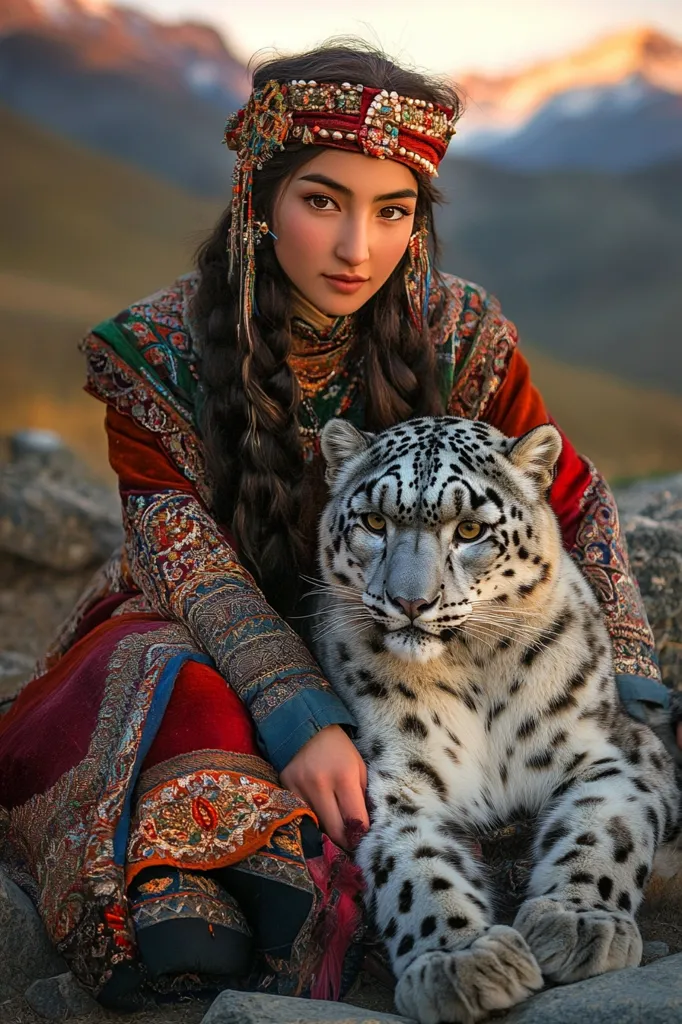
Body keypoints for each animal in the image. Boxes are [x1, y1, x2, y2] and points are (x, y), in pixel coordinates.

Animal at [309, 414, 679, 1024]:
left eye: (469, 531)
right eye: (374, 522)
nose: (409, 602)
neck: (474, 672)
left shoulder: (615, 753)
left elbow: (603, 832)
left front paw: (577, 922)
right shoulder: (397, 789)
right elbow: (418, 872)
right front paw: (461, 962)